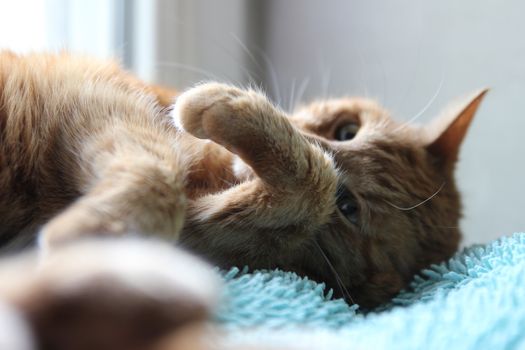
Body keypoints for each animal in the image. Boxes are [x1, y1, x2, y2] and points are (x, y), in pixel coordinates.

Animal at [0, 50, 486, 312]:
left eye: (348, 207)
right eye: (347, 130)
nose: (309, 143)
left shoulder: (202, 247)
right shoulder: (90, 96)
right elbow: (159, 167)